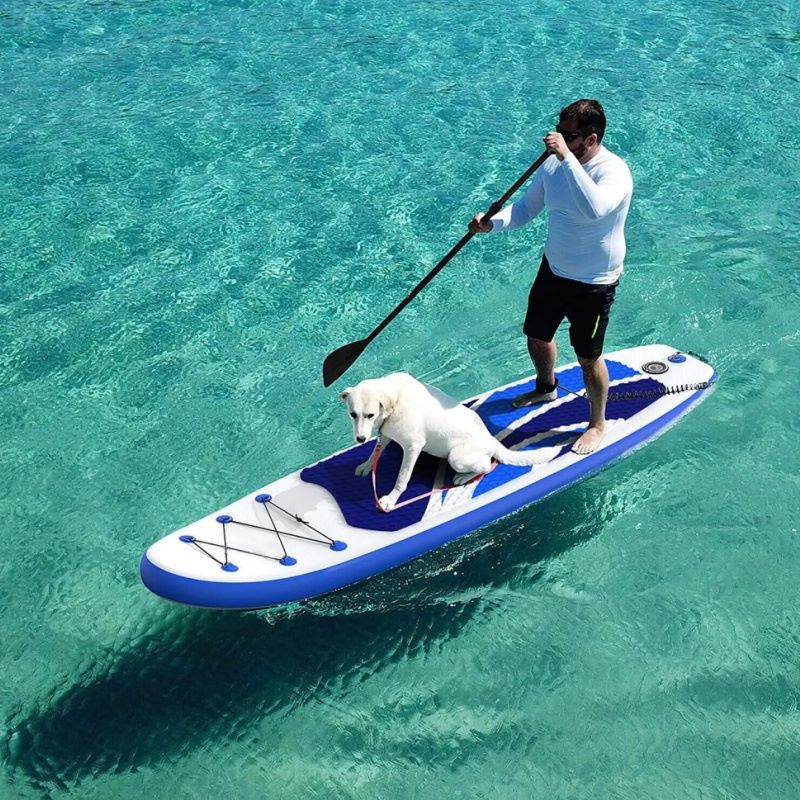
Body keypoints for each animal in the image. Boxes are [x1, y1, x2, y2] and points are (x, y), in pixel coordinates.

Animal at [340, 376, 560, 512]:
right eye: (353, 414)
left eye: (370, 415)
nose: (360, 439)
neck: (395, 400)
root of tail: (492, 439)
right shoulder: (386, 433)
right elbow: (375, 452)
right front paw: (366, 466)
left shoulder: (412, 447)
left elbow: (402, 480)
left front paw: (390, 500)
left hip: (456, 457)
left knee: (486, 465)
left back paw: (464, 477)